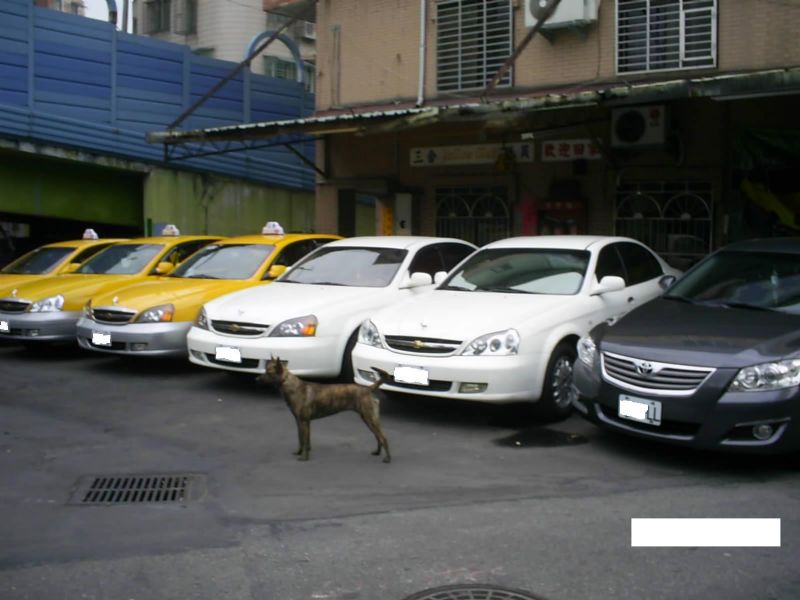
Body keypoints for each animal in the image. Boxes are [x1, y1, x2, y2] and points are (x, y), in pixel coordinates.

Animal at [258, 356, 392, 464]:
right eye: (265, 370)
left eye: (269, 372)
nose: (257, 379)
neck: (291, 386)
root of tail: (369, 389)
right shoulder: (301, 422)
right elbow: (301, 439)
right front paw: (300, 452)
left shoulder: (303, 421)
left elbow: (304, 440)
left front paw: (304, 457)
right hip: (368, 418)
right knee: (377, 436)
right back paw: (377, 452)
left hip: (370, 418)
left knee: (383, 437)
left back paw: (387, 459)